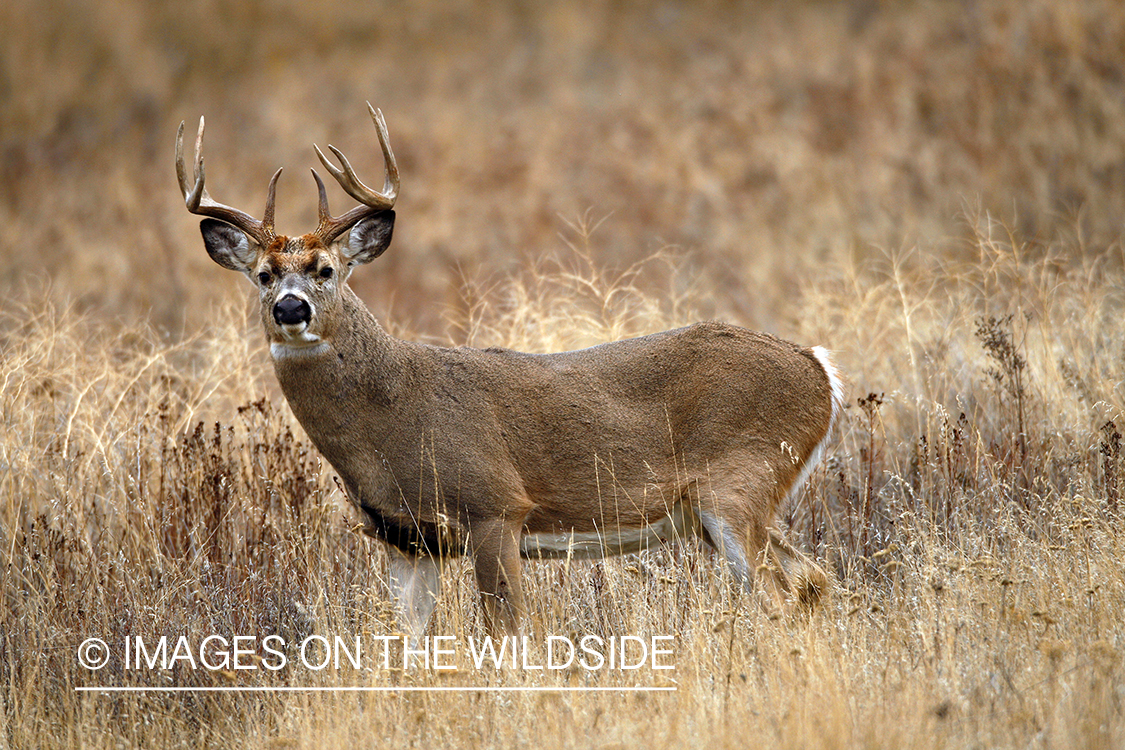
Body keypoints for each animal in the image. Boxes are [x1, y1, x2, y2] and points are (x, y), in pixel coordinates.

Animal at [175, 102, 846, 638]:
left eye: (326, 270)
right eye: (263, 275)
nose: (291, 308)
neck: (392, 420)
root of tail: (820, 370)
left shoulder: (496, 507)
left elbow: (509, 633)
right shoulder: (404, 540)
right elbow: (410, 643)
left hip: (738, 481)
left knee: (781, 596)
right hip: (733, 503)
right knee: (815, 581)